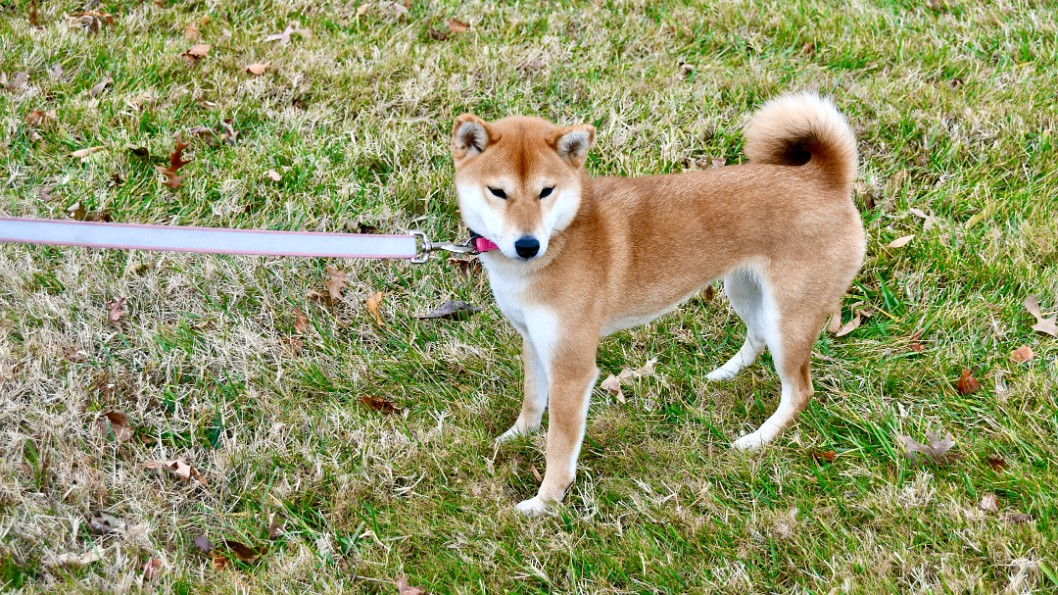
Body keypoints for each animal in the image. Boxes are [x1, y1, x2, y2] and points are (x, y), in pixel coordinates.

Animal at [450, 93, 863, 514]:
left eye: (546, 191)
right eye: (498, 191)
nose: (528, 245)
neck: (561, 239)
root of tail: (824, 179)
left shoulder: (572, 369)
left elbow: (559, 447)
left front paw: (545, 501)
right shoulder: (535, 340)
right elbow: (532, 401)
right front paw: (516, 436)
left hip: (789, 319)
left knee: (798, 391)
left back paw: (758, 438)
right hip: (745, 290)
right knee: (758, 336)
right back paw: (724, 374)